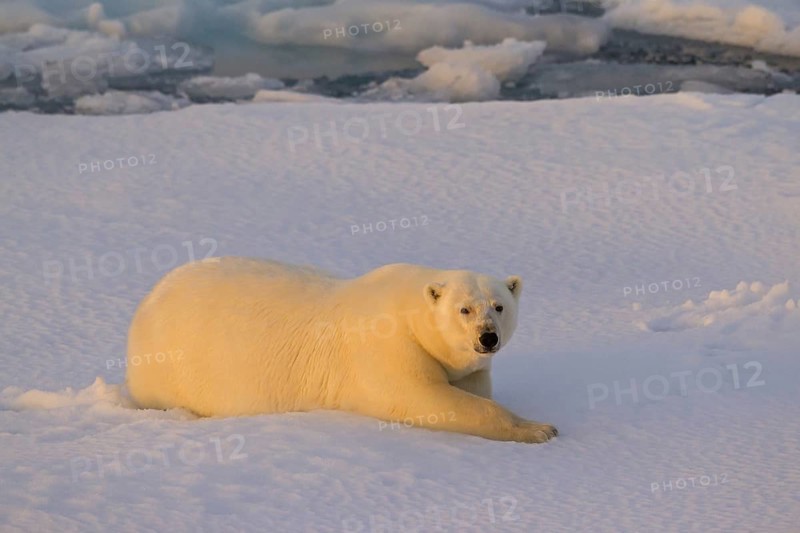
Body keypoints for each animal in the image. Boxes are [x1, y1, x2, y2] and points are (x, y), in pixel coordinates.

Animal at [126, 257, 558, 443]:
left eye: (498, 306)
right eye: (464, 309)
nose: (487, 338)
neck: (408, 309)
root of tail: (147, 302)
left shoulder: (466, 367)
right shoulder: (387, 349)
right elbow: (424, 399)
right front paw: (539, 429)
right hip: (169, 364)